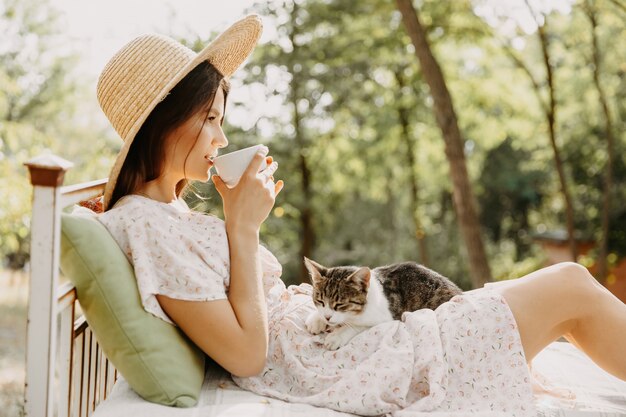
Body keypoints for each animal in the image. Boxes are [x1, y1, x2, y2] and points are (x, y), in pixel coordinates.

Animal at [304, 256, 460, 348]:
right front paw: (316, 319)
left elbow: (357, 325)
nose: (327, 317)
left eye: (340, 305)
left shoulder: (386, 318)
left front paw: (337, 336)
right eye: (320, 301)